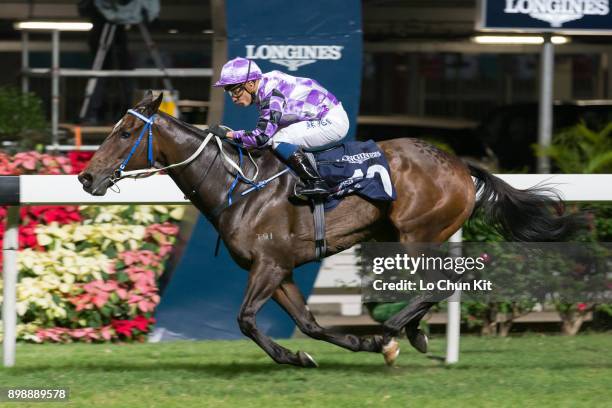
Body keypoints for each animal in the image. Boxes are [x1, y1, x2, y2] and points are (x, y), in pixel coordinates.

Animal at [77, 91, 584, 368]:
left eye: (124, 133)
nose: (85, 177)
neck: (238, 184)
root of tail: (460, 164)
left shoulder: (268, 264)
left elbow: (245, 320)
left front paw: (351, 346)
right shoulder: (279, 269)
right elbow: (310, 324)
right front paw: (334, 349)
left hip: (416, 234)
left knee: (447, 280)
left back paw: (397, 328)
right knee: (442, 283)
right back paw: (410, 333)